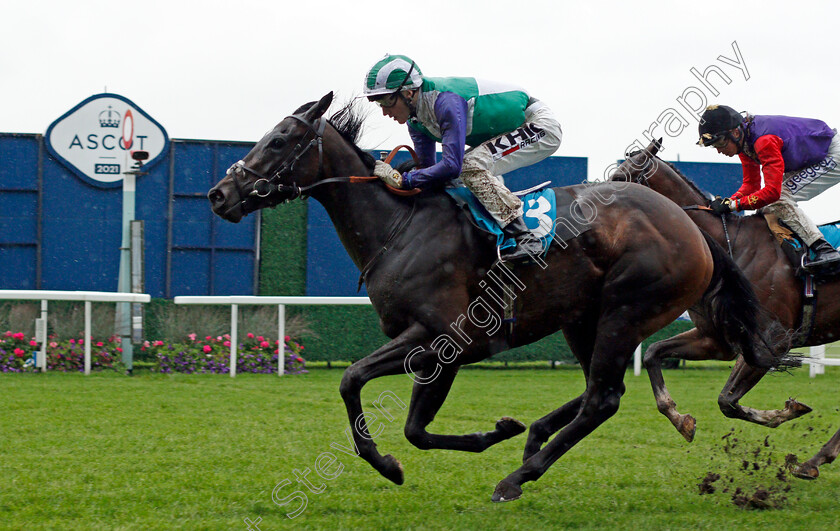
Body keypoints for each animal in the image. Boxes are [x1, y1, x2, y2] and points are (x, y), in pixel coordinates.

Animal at [207, 93, 784, 504]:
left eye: (280, 140)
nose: (218, 194)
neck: (400, 227)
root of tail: (692, 226)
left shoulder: (443, 337)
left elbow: (356, 383)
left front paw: (387, 462)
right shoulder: (434, 351)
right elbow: (413, 427)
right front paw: (496, 431)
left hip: (627, 309)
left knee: (603, 396)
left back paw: (517, 477)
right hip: (584, 318)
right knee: (599, 389)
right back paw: (533, 444)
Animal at [612, 139, 840, 480]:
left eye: (621, 178)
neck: (733, 248)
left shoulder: (770, 342)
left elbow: (727, 400)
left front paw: (788, 411)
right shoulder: (715, 339)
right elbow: (654, 353)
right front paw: (680, 419)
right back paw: (814, 461)